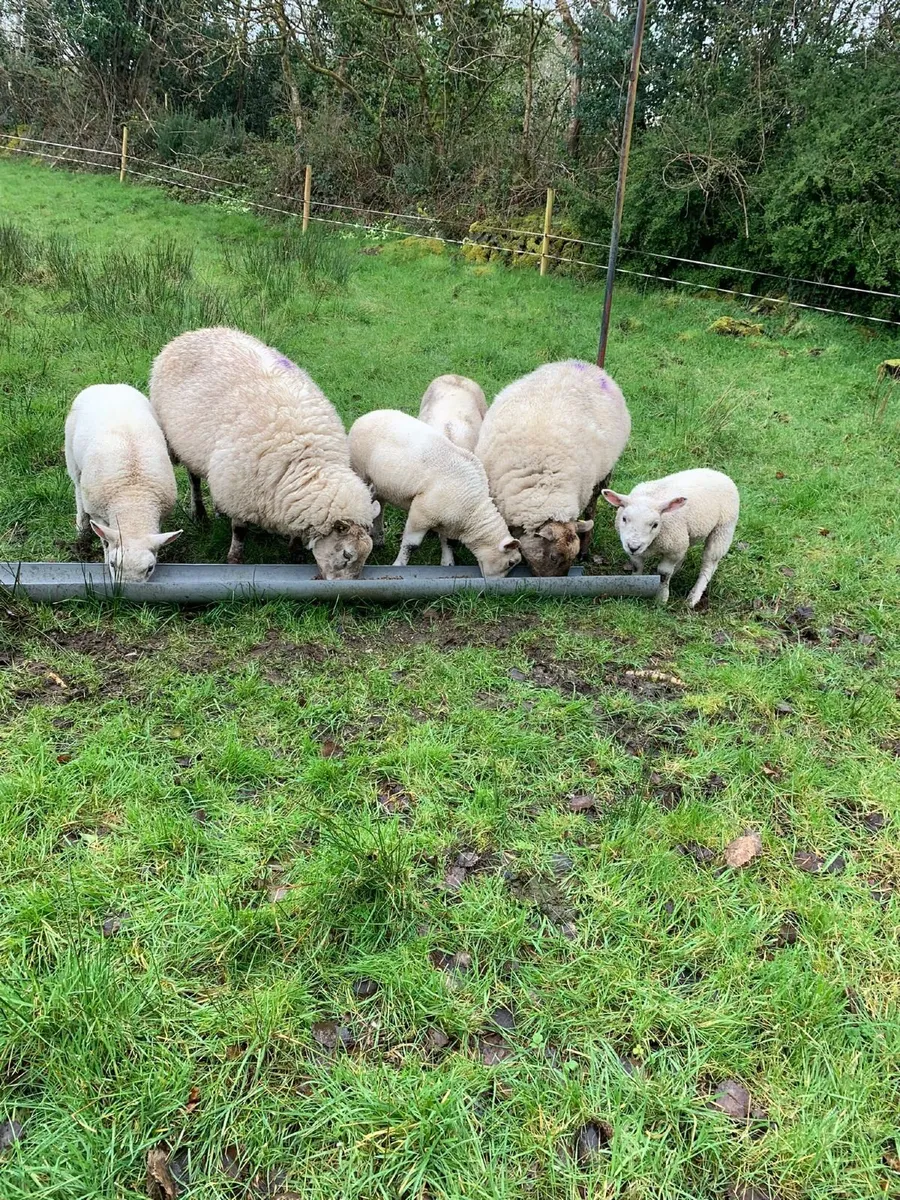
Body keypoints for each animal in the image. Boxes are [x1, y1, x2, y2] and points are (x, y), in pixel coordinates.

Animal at [64, 383, 181, 582]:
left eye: (150, 568)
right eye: (113, 564)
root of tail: (107, 385)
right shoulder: (98, 513)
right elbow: (105, 541)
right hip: (71, 456)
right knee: (77, 490)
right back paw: (82, 528)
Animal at [149, 327, 379, 579]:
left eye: (367, 555)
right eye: (347, 554)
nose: (347, 586)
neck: (308, 460)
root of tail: (192, 333)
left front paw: (295, 552)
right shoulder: (239, 493)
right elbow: (239, 531)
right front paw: (235, 560)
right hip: (181, 443)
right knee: (194, 479)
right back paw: (199, 514)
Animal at [348, 409, 521, 576]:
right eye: (510, 563)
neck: (472, 510)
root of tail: (367, 415)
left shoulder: (448, 519)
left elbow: (448, 541)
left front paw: (448, 562)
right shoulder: (421, 513)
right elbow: (411, 545)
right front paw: (399, 565)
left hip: (381, 484)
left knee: (380, 503)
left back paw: (378, 538)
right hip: (360, 470)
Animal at [475, 359, 631, 576]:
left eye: (570, 559)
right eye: (553, 557)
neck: (544, 483)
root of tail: (587, 365)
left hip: (604, 475)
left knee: (592, 508)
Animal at [602, 468, 740, 606]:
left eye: (655, 524)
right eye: (624, 519)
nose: (633, 547)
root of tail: (717, 472)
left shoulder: (672, 551)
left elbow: (664, 574)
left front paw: (661, 599)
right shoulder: (635, 550)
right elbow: (637, 566)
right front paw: (636, 587)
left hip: (723, 529)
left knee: (709, 565)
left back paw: (693, 598)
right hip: (686, 536)